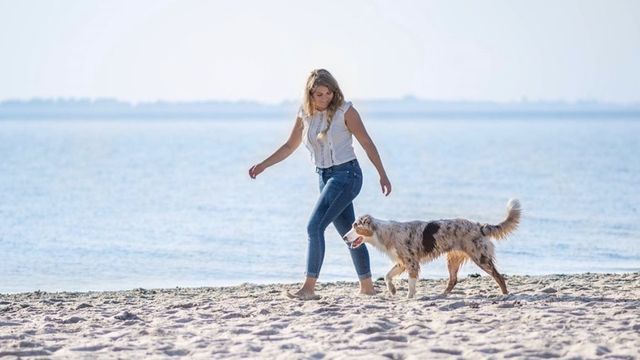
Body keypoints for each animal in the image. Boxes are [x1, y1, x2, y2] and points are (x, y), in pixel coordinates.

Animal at [344, 198, 520, 296]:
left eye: (355, 227)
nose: (344, 237)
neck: (384, 233)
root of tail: (479, 226)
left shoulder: (411, 262)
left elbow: (411, 283)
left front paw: (409, 298)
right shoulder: (402, 262)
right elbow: (388, 276)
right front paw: (393, 290)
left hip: (480, 257)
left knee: (499, 276)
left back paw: (505, 295)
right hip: (453, 259)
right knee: (453, 280)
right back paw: (442, 295)